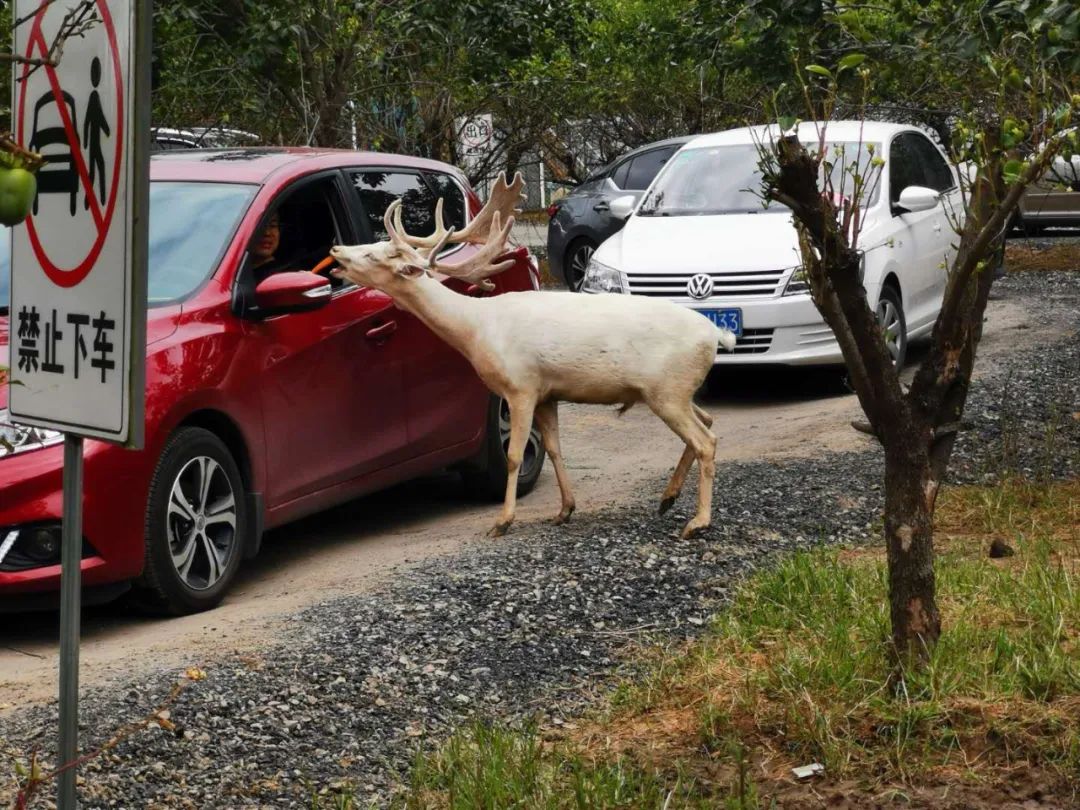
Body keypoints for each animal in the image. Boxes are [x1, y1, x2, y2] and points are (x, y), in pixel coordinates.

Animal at [328, 173, 734, 540]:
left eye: (374, 254)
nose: (335, 250)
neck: (477, 329)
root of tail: (716, 335)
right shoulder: (547, 393)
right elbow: (554, 449)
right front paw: (565, 509)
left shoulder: (520, 387)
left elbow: (513, 456)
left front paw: (502, 521)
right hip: (675, 391)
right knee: (708, 422)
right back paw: (667, 498)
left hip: (667, 390)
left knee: (706, 440)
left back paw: (696, 522)